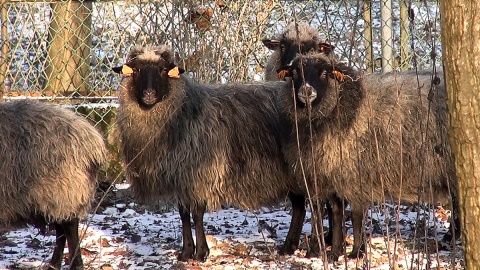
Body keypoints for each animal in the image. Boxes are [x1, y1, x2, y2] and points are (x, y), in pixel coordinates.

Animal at [0, 99, 107, 270]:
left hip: (64, 190)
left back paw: (75, 264)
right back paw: (54, 265)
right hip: (56, 196)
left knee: (69, 228)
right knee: (60, 231)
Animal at [276, 53, 456, 260]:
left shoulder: (357, 176)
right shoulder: (331, 175)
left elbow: (356, 215)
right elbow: (335, 213)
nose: (306, 91)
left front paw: (356, 252)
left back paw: (451, 237)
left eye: (324, 73)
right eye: (295, 73)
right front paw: (335, 253)